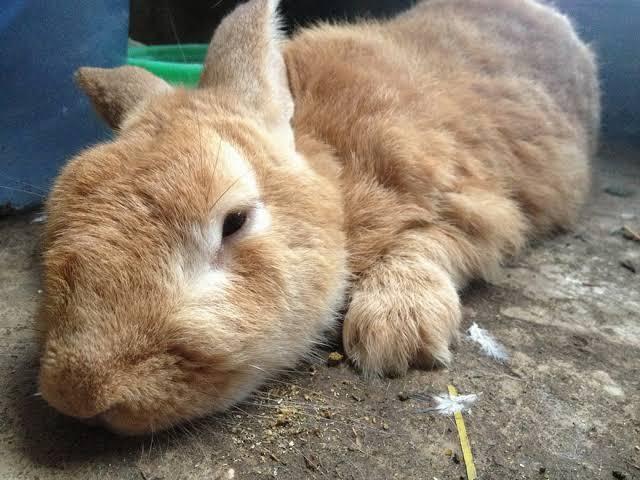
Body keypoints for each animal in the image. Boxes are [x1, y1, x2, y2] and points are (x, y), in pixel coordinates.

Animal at [38, 0, 600, 436]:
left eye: (234, 221)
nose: (81, 394)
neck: (336, 178)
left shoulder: (477, 207)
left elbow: (426, 242)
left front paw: (395, 335)